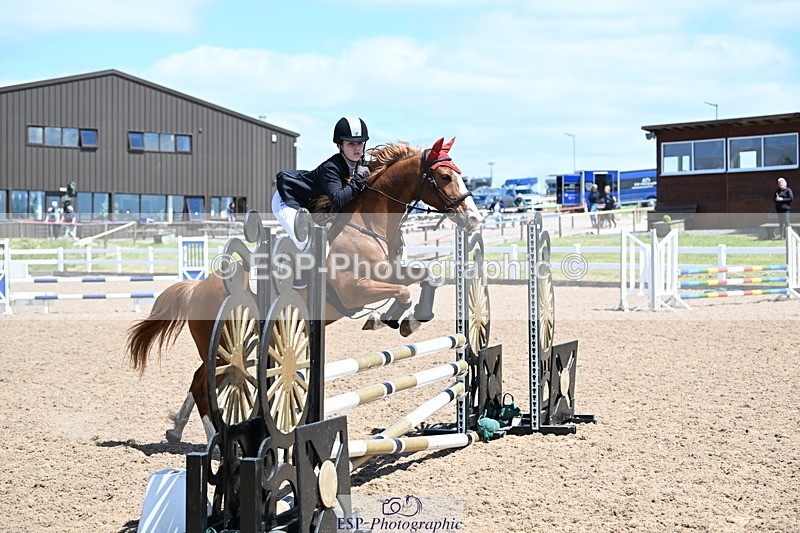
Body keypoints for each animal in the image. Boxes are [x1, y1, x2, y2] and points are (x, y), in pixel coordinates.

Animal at [125, 137, 483, 443]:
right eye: (445, 176)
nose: (475, 220)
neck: (369, 225)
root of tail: (198, 287)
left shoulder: (390, 272)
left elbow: (427, 276)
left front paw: (414, 319)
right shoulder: (355, 291)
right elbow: (402, 293)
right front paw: (390, 319)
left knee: (199, 378)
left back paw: (176, 430)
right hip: (224, 341)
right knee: (205, 385)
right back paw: (213, 440)